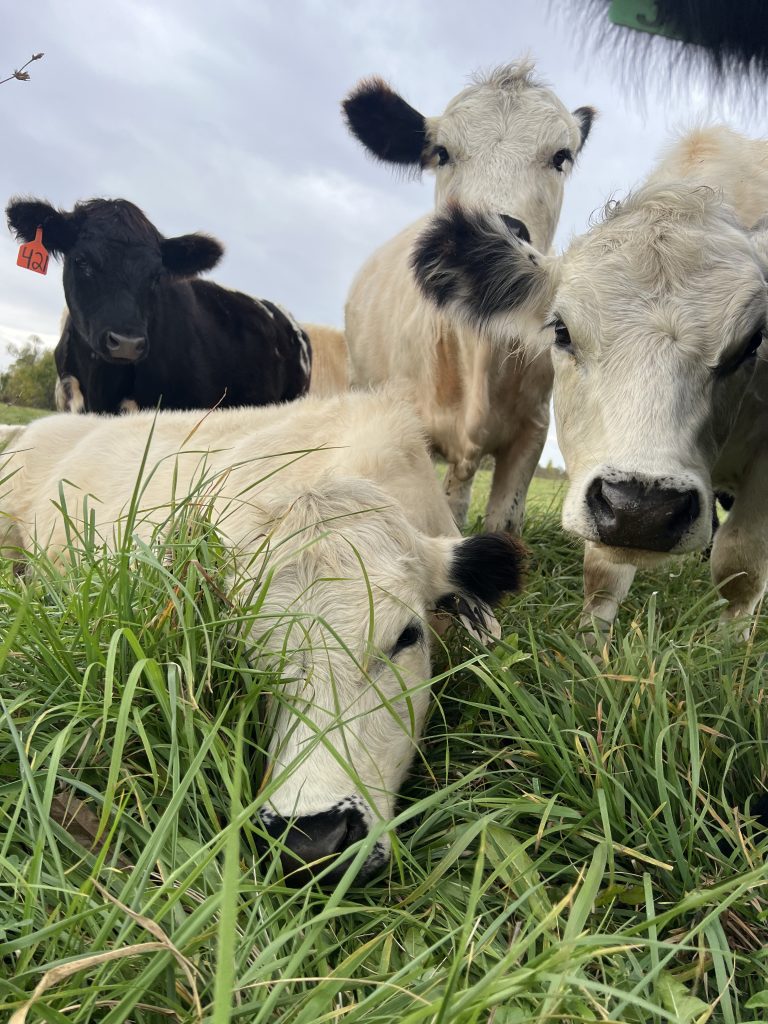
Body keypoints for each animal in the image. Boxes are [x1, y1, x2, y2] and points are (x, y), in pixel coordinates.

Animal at [411, 125, 768, 634]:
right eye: (561, 330)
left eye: (753, 341)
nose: (643, 510)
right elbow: (602, 573)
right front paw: (591, 640)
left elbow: (741, 566)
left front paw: (730, 645)